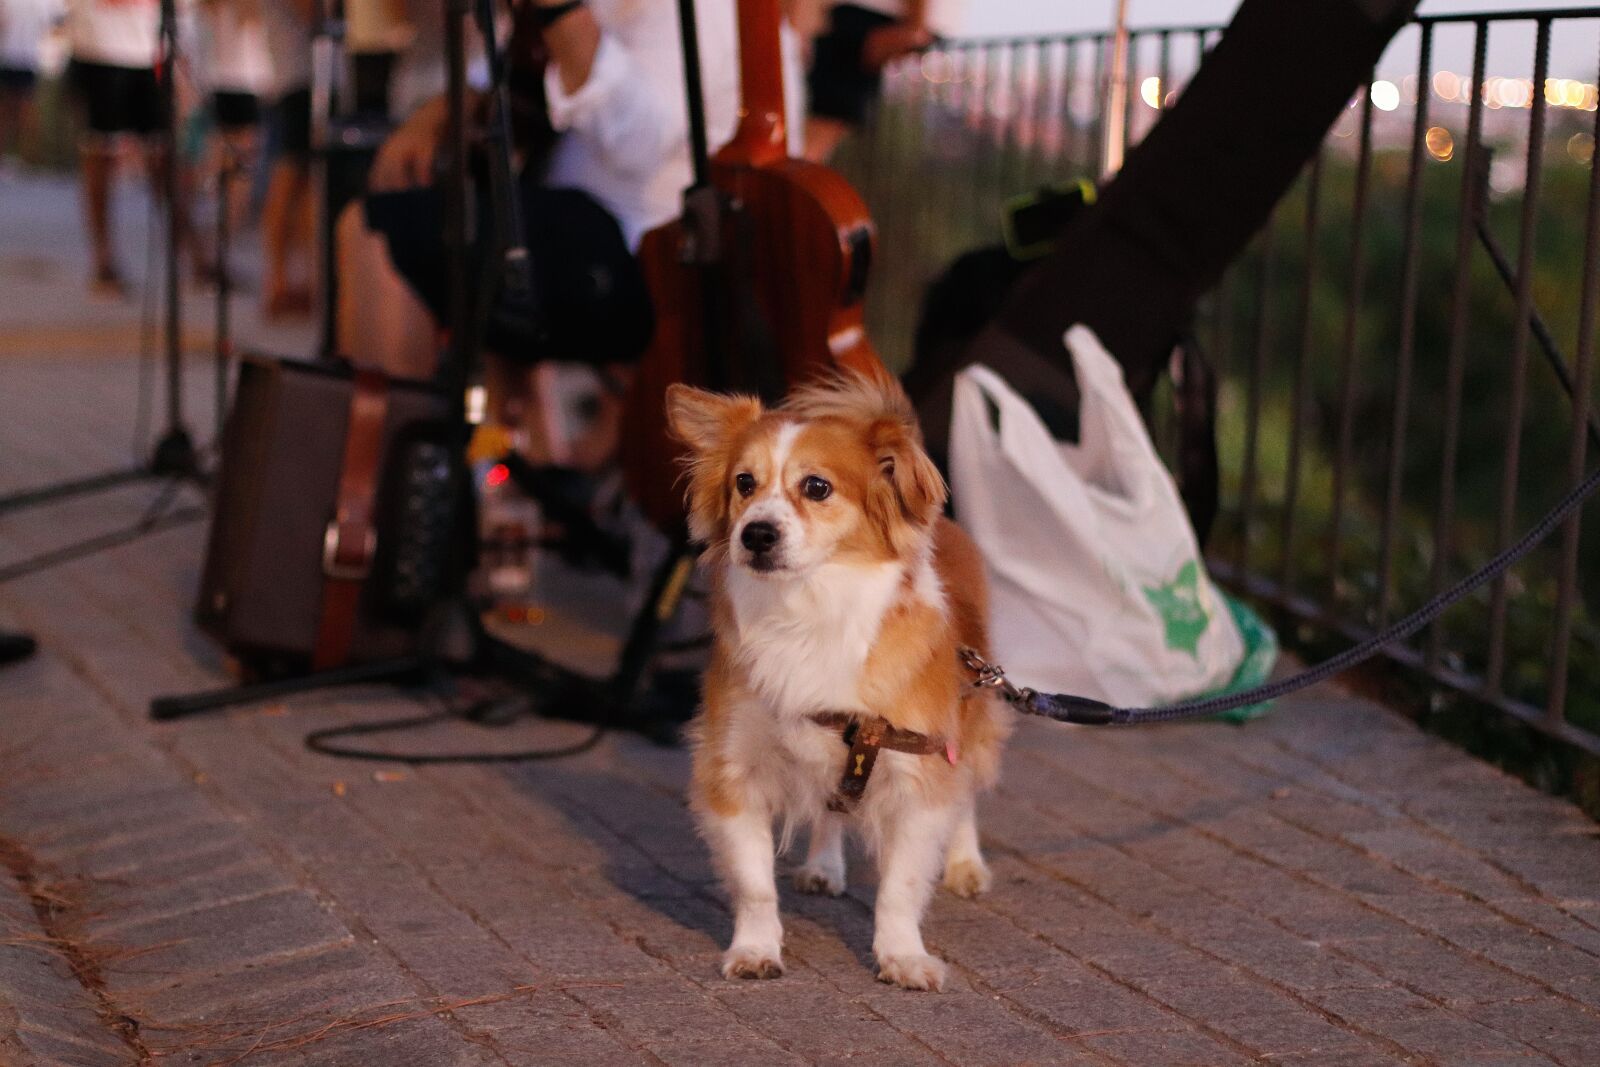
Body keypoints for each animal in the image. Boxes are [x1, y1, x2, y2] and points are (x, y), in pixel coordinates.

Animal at [665, 371, 1011, 991]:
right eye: (744, 483)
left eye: (817, 487)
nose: (756, 534)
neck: (809, 609)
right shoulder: (734, 769)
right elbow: (754, 883)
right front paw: (755, 948)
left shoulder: (918, 774)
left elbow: (900, 888)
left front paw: (902, 956)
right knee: (831, 809)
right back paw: (823, 865)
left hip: (970, 721)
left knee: (966, 794)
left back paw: (964, 863)